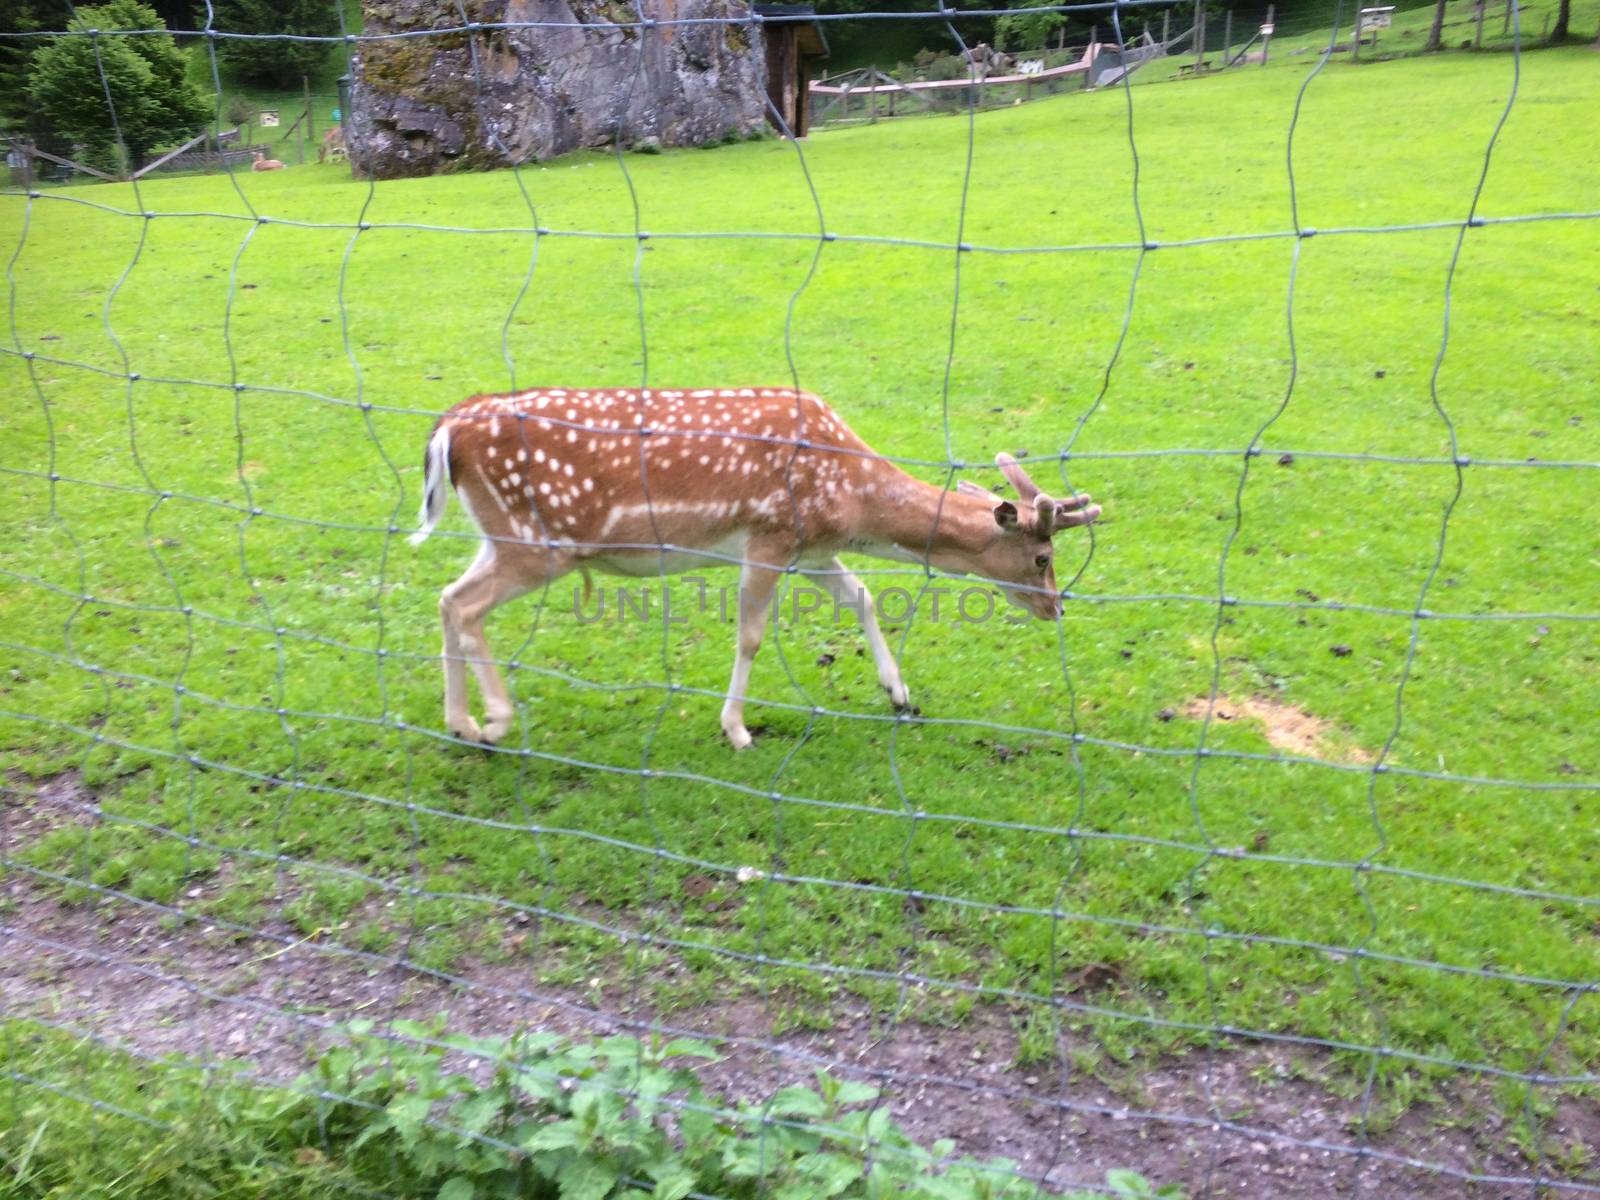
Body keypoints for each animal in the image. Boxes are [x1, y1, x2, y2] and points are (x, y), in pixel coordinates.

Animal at [409, 390, 1100, 752]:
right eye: (1043, 558)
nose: (1057, 607)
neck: (852, 498)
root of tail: (447, 429)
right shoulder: (770, 536)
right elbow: (750, 634)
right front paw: (737, 728)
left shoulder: (812, 549)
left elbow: (862, 596)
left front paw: (901, 695)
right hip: (539, 542)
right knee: (467, 605)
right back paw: (494, 721)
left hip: (501, 535)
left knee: (447, 596)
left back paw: (459, 720)